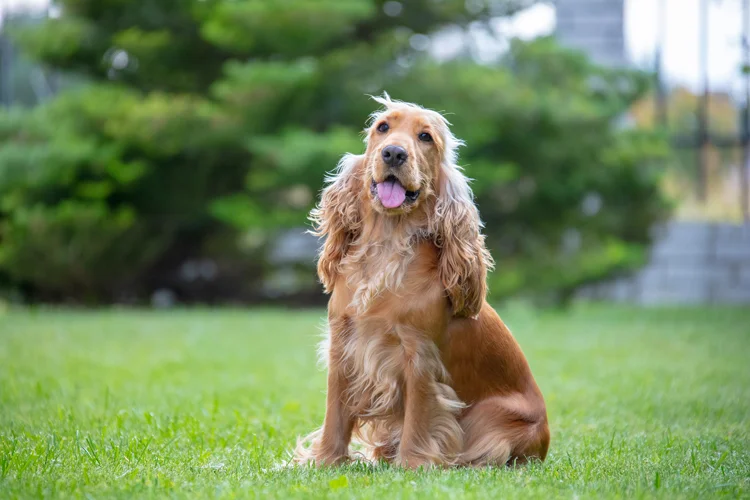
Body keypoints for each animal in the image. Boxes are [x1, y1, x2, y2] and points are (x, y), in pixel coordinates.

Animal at [296, 94, 552, 468]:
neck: (387, 247)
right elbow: (335, 415)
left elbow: (419, 415)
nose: (393, 153)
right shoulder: (343, 345)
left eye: (425, 137)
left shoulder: (419, 354)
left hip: (494, 423)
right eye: (382, 128)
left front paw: (412, 465)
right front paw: (325, 462)